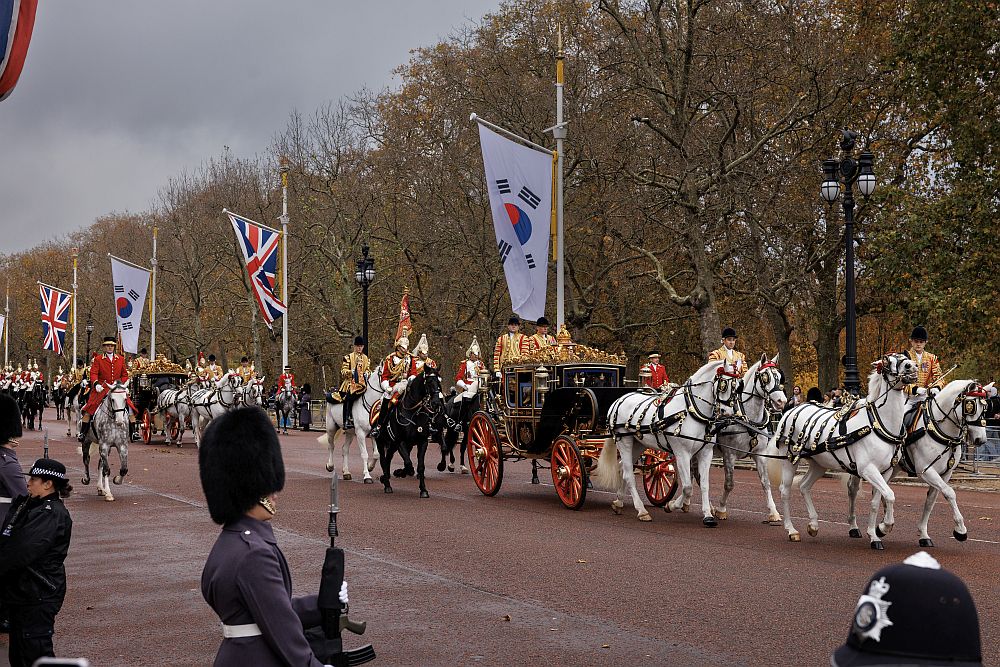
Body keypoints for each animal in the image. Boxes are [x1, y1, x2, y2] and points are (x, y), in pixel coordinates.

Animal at [376, 368, 444, 498]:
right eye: (429, 382)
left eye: (439, 382)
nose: (437, 403)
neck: (413, 412)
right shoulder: (400, 441)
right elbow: (408, 464)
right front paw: (400, 472)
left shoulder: (422, 442)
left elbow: (420, 467)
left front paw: (423, 490)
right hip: (381, 442)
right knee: (383, 460)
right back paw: (387, 484)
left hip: (394, 445)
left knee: (388, 459)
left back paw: (386, 478)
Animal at [588, 362, 740, 524]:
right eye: (724, 384)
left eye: (738, 386)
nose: (730, 413)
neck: (692, 412)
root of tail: (618, 400)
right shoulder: (682, 454)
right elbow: (687, 487)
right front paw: (671, 505)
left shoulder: (705, 453)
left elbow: (704, 485)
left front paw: (708, 515)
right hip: (624, 441)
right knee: (628, 474)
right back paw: (641, 510)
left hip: (638, 444)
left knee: (623, 468)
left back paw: (619, 502)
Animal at [716, 354, 784, 520]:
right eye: (765, 377)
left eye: (779, 377)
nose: (782, 402)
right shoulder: (729, 454)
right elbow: (729, 483)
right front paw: (721, 509)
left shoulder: (760, 454)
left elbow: (766, 482)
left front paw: (773, 512)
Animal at [768, 352, 916, 552]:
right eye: (888, 361)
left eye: (904, 356)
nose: (912, 366)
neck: (878, 424)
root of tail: (791, 409)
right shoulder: (867, 470)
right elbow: (890, 496)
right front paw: (884, 527)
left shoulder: (884, 472)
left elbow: (879, 501)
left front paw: (875, 534)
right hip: (790, 460)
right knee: (785, 490)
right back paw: (791, 530)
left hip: (819, 464)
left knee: (804, 486)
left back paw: (813, 525)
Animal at [844, 380, 992, 548]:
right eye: (970, 405)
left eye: (985, 407)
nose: (981, 439)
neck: (940, 429)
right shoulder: (926, 471)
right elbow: (950, 493)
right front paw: (960, 530)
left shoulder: (945, 474)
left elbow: (931, 501)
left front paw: (924, 534)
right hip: (861, 466)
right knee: (853, 490)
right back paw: (854, 527)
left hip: (891, 468)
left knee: (882, 490)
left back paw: (882, 526)